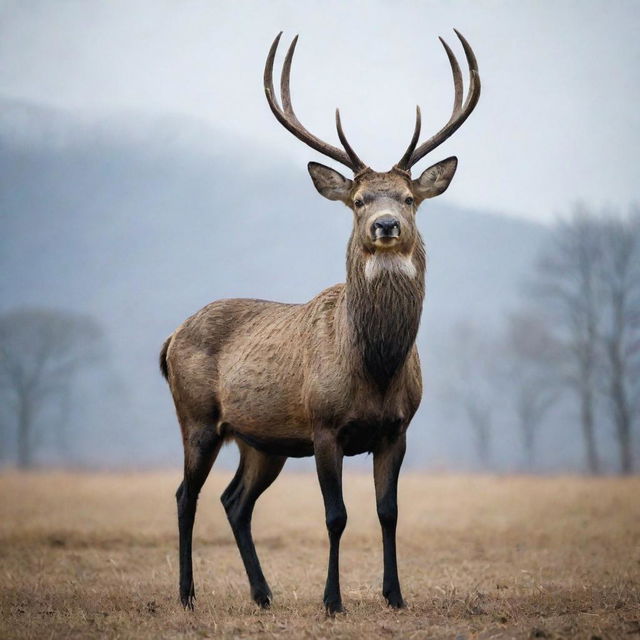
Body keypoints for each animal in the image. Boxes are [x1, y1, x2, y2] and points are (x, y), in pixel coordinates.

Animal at [160, 30, 480, 614]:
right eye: (357, 200)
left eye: (409, 198)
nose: (385, 225)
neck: (376, 367)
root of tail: (169, 338)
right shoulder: (324, 425)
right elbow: (336, 516)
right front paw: (333, 600)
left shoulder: (398, 429)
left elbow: (388, 513)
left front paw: (395, 596)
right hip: (197, 417)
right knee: (184, 495)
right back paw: (188, 594)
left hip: (262, 441)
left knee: (234, 501)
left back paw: (263, 594)